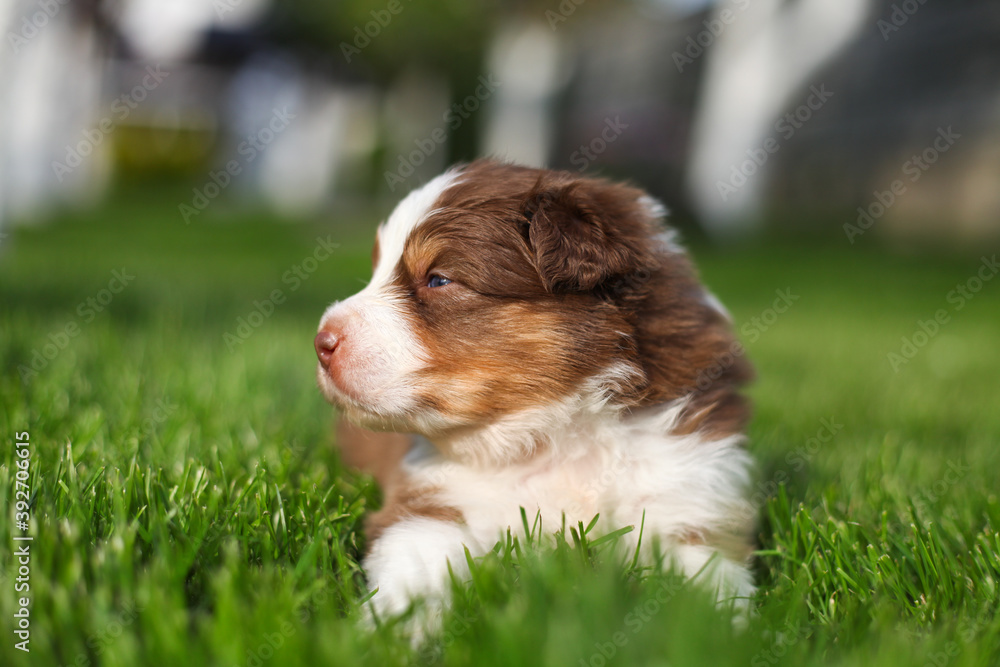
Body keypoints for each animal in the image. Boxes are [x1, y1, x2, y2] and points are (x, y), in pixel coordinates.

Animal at [316, 159, 752, 620]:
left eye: (438, 280)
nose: (321, 341)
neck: (557, 433)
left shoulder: (693, 497)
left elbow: (710, 587)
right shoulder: (427, 501)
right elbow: (416, 565)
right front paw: (397, 626)